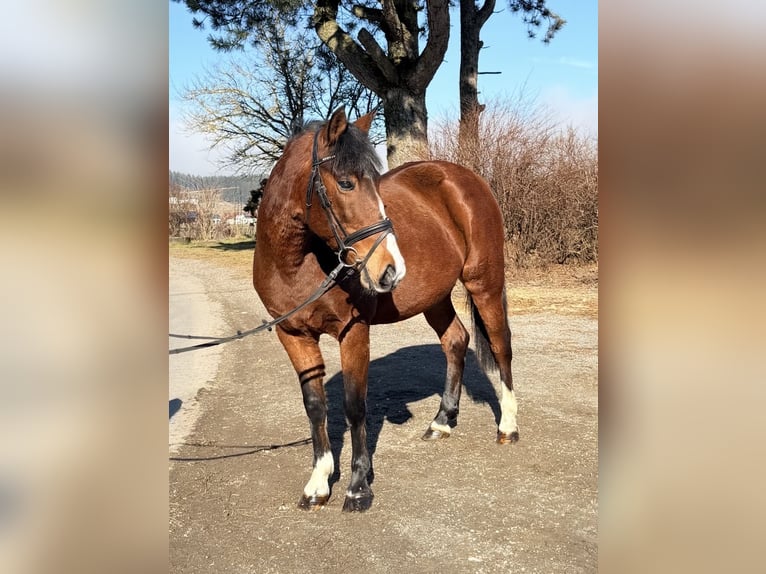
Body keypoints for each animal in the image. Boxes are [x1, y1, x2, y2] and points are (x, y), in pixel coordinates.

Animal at [252, 107, 518, 512]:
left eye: (376, 184)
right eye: (346, 183)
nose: (391, 270)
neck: (296, 266)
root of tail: (468, 178)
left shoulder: (354, 330)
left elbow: (354, 406)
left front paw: (358, 487)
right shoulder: (293, 334)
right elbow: (315, 406)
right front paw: (318, 483)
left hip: (484, 283)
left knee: (501, 346)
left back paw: (508, 426)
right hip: (435, 297)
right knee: (456, 341)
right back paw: (442, 421)